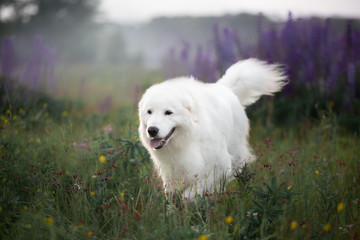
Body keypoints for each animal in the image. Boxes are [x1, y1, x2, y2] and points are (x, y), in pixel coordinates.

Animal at [138, 59, 286, 200]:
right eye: (149, 112)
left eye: (168, 112)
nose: (152, 130)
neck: (190, 137)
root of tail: (226, 88)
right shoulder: (171, 172)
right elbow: (171, 195)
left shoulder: (219, 166)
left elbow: (190, 193)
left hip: (236, 154)